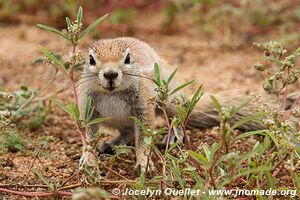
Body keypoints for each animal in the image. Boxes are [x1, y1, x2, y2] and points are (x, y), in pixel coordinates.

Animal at [78, 36, 300, 173]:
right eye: (91, 59)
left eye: (127, 58)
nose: (110, 74)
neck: (113, 92)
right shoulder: (88, 107)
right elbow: (88, 135)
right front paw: (89, 159)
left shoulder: (143, 105)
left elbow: (144, 137)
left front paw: (143, 162)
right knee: (127, 132)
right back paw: (111, 143)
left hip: (169, 98)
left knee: (177, 116)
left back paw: (174, 135)